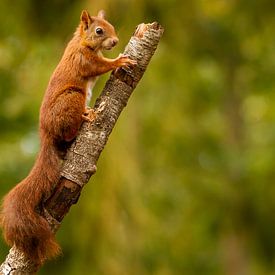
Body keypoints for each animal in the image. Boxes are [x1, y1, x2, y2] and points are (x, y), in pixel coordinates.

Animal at [0, 9, 137, 266]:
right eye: (99, 31)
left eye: (112, 26)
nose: (115, 42)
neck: (82, 43)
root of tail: (45, 134)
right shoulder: (84, 60)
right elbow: (98, 66)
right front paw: (120, 61)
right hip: (72, 98)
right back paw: (85, 116)